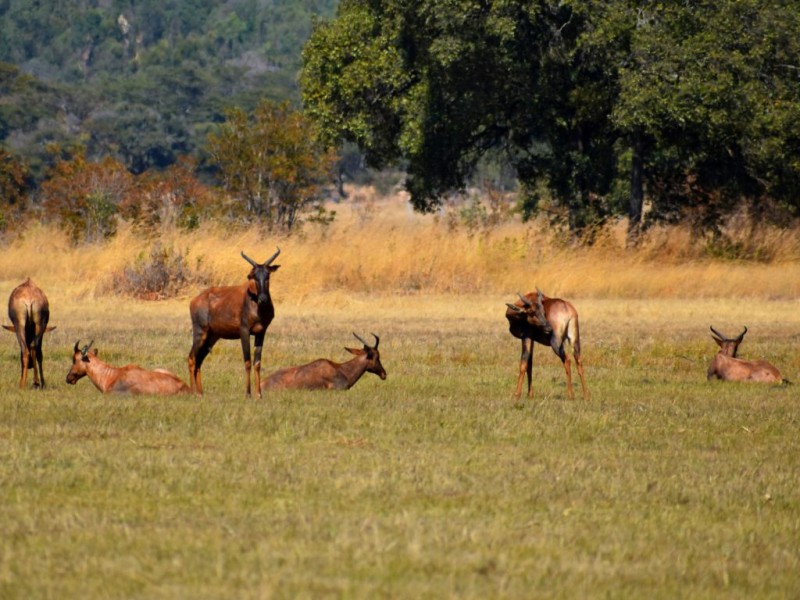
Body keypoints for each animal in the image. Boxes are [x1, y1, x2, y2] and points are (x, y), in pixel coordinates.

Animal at [188, 246, 282, 396]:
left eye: (267, 275)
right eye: (254, 276)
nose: (262, 299)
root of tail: (194, 300)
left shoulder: (261, 333)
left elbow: (257, 363)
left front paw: (259, 394)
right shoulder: (244, 331)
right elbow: (247, 361)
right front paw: (248, 394)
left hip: (212, 337)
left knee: (199, 360)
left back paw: (201, 393)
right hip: (200, 332)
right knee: (192, 358)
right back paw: (193, 393)